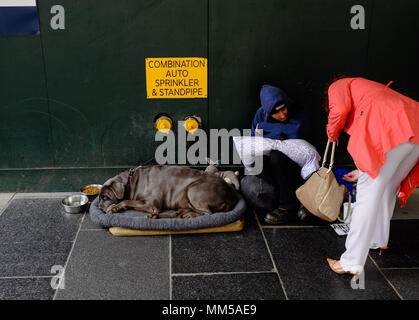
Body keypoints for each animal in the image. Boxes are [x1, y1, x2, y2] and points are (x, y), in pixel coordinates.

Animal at [97, 164, 238, 219]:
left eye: (105, 197)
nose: (98, 206)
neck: (132, 182)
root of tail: (231, 196)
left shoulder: (151, 204)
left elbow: (127, 200)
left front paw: (114, 207)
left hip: (193, 190)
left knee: (208, 213)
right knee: (176, 214)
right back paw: (156, 216)